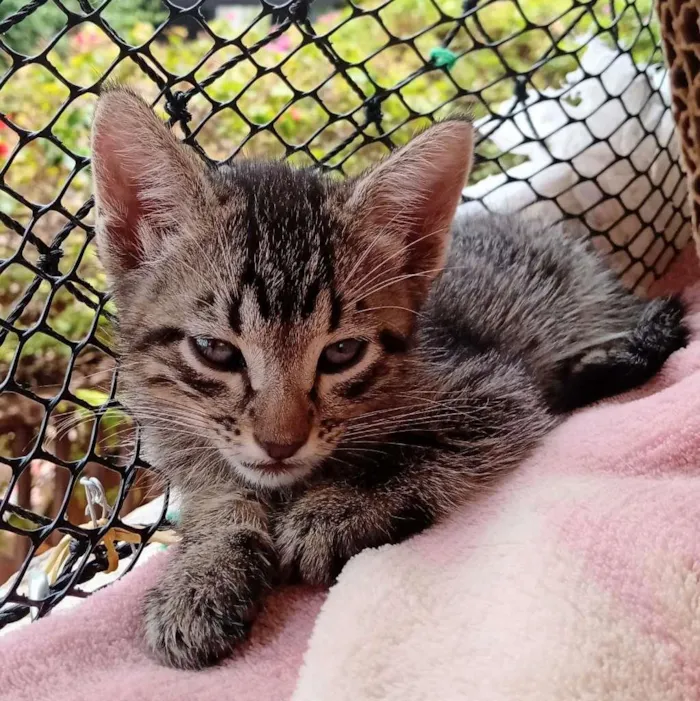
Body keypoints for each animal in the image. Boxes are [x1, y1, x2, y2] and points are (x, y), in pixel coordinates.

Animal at [90, 87, 688, 668]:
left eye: (342, 353)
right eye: (215, 350)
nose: (281, 444)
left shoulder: (496, 391)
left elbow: (420, 452)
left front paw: (336, 509)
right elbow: (220, 500)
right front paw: (201, 574)